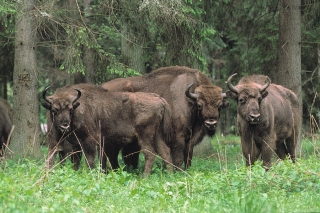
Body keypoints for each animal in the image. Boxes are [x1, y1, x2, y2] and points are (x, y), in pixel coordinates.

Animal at [42, 82, 174, 176]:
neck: (78, 108)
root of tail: (159, 99)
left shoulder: (88, 141)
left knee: (149, 154)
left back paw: (144, 177)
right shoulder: (73, 144)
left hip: (145, 135)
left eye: (70, 109)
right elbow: (74, 161)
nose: (65, 125)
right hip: (157, 135)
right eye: (54, 110)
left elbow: (90, 160)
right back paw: (169, 175)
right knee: (165, 152)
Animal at [101, 65, 229, 170]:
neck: (189, 101)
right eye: (200, 105)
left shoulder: (190, 140)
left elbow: (188, 158)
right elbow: (178, 158)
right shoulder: (178, 137)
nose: (211, 123)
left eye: (220, 106)